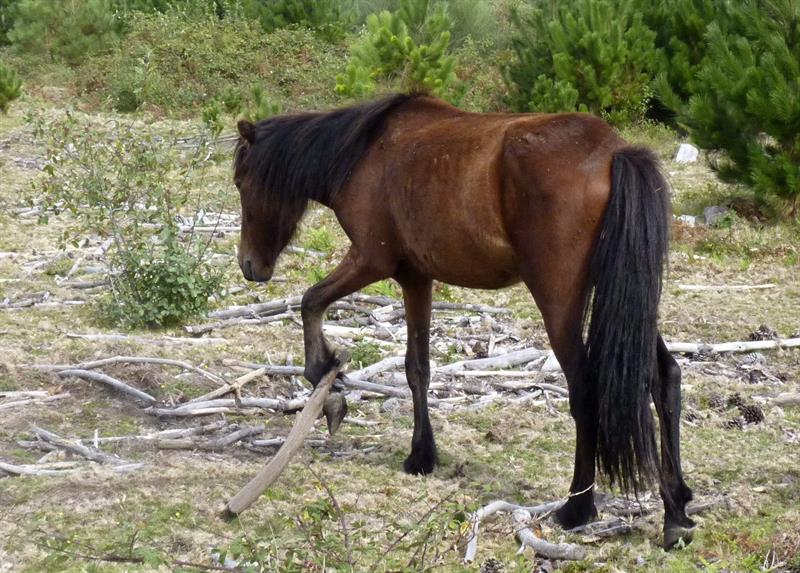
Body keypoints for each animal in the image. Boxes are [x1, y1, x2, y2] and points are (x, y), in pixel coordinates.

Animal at [232, 93, 695, 548]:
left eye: (240, 181)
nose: (250, 266)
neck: (364, 150)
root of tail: (613, 152)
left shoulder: (370, 261)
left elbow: (310, 303)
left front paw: (327, 390)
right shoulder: (415, 277)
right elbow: (417, 368)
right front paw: (422, 455)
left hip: (559, 303)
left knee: (584, 390)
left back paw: (577, 507)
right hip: (627, 296)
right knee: (664, 376)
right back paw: (675, 511)